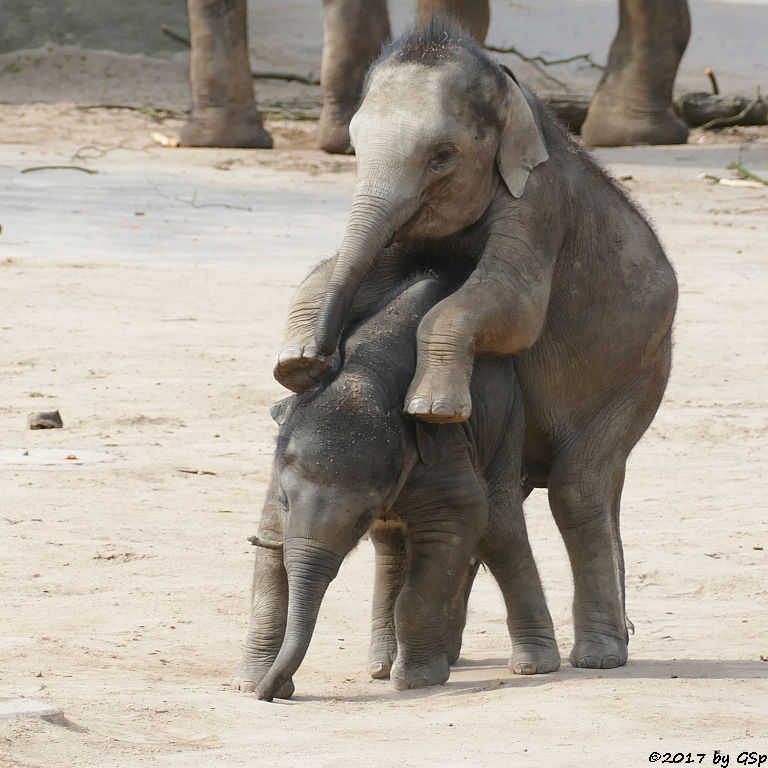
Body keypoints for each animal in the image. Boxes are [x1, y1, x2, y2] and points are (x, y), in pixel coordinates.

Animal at [234, 278, 560, 704]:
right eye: (286, 502)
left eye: (362, 517)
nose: (270, 696)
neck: (363, 373)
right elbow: (272, 541)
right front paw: (249, 684)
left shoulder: (442, 442)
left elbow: (462, 515)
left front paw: (418, 681)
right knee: (392, 545)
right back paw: (382, 665)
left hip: (505, 424)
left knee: (499, 528)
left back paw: (533, 665)